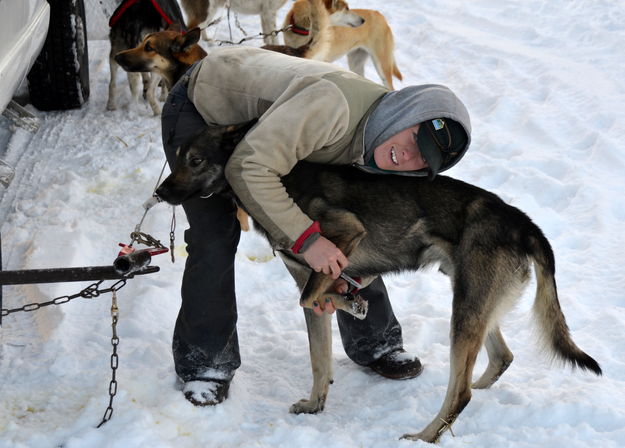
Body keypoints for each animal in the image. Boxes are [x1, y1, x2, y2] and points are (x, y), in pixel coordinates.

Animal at [154, 123, 604, 444]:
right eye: (177, 158)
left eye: (196, 160)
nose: (160, 192)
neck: (275, 178)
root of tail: (521, 222)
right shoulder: (313, 274)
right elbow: (319, 353)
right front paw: (316, 403)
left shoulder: (343, 235)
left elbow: (311, 298)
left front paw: (351, 299)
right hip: (474, 302)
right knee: (499, 359)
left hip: (465, 311)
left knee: (460, 391)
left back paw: (425, 435)